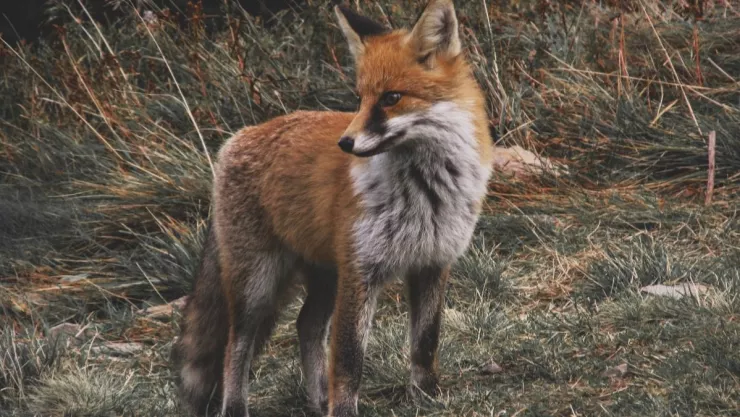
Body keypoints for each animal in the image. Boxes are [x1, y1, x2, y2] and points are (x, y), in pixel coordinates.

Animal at [173, 1, 494, 416]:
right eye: (359, 98)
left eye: (391, 98)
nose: (346, 143)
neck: (425, 192)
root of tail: (237, 138)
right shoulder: (361, 272)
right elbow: (348, 358)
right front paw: (342, 409)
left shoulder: (433, 263)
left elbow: (425, 341)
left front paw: (426, 396)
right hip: (257, 284)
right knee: (235, 345)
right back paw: (237, 406)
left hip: (324, 275)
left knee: (306, 325)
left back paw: (316, 400)